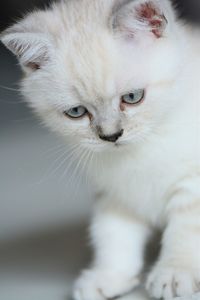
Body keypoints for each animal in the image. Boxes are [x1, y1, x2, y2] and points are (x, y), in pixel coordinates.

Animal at [1, 0, 200, 300]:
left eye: (132, 97)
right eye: (76, 112)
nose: (110, 136)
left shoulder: (193, 182)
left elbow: (186, 228)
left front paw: (175, 273)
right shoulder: (113, 193)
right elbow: (111, 234)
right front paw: (108, 276)